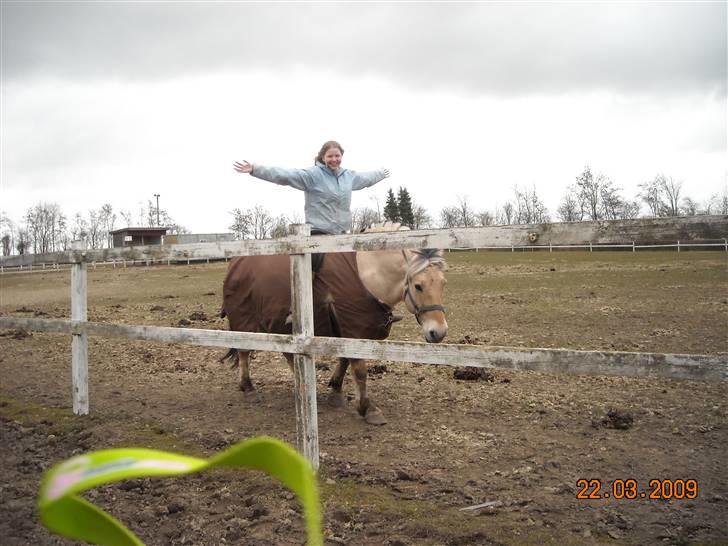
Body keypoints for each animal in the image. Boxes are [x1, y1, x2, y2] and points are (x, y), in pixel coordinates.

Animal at [219, 223, 446, 422]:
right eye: (418, 286)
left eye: (443, 283)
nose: (439, 332)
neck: (367, 275)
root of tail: (236, 262)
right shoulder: (353, 328)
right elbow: (360, 371)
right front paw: (367, 408)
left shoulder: (348, 330)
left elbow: (344, 361)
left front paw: (335, 392)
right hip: (244, 320)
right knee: (244, 353)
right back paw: (248, 388)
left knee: (287, 353)